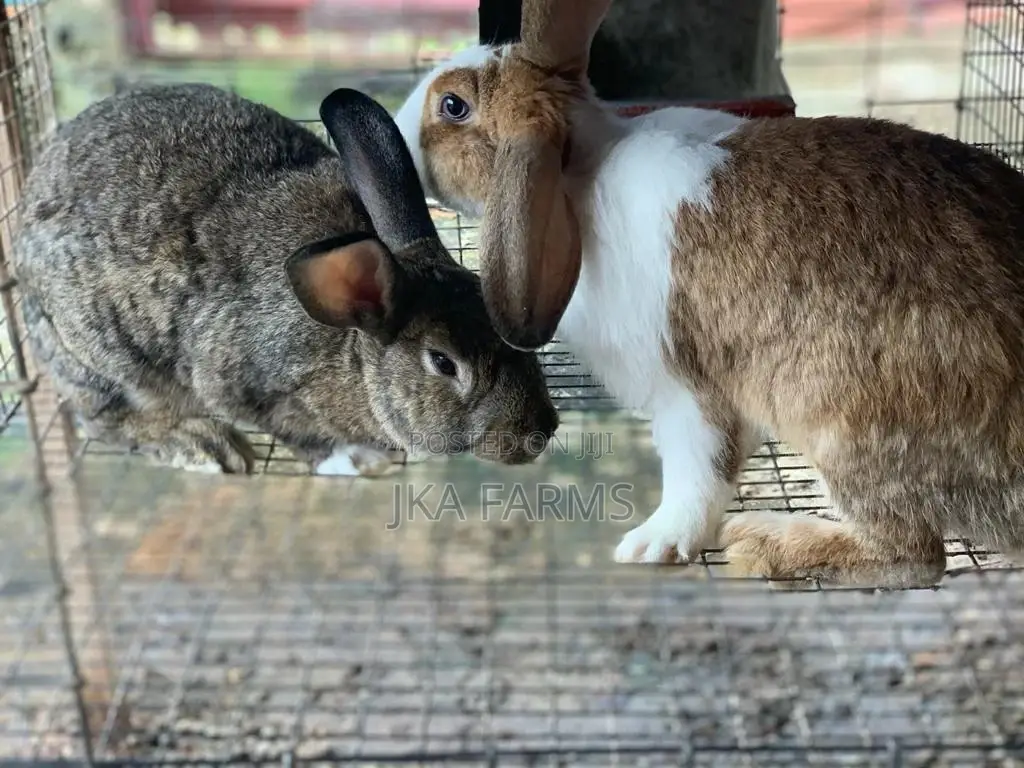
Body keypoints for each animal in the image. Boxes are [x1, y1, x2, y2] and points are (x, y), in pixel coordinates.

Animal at [12, 82, 559, 477]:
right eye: (444, 363)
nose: (540, 433)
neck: (351, 350)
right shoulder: (238, 384)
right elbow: (298, 434)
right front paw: (358, 461)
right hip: (96, 357)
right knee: (102, 418)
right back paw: (201, 444)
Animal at [392, 0, 1024, 587]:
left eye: (453, 106)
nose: (396, 131)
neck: (581, 178)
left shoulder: (687, 389)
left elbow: (698, 475)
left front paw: (653, 545)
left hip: (845, 426)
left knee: (912, 554)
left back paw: (762, 542)